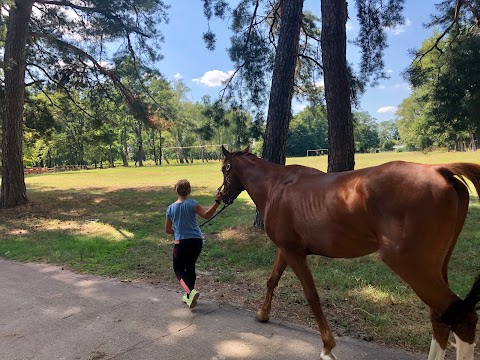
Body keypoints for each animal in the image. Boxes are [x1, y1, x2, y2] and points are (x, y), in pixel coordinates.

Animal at [219, 145, 480, 358]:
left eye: (224, 169)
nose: (220, 195)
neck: (276, 186)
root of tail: (439, 170)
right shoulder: (286, 249)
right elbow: (272, 280)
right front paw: (262, 313)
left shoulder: (294, 253)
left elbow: (311, 295)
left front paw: (328, 346)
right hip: (435, 267)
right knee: (441, 317)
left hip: (410, 265)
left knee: (461, 317)